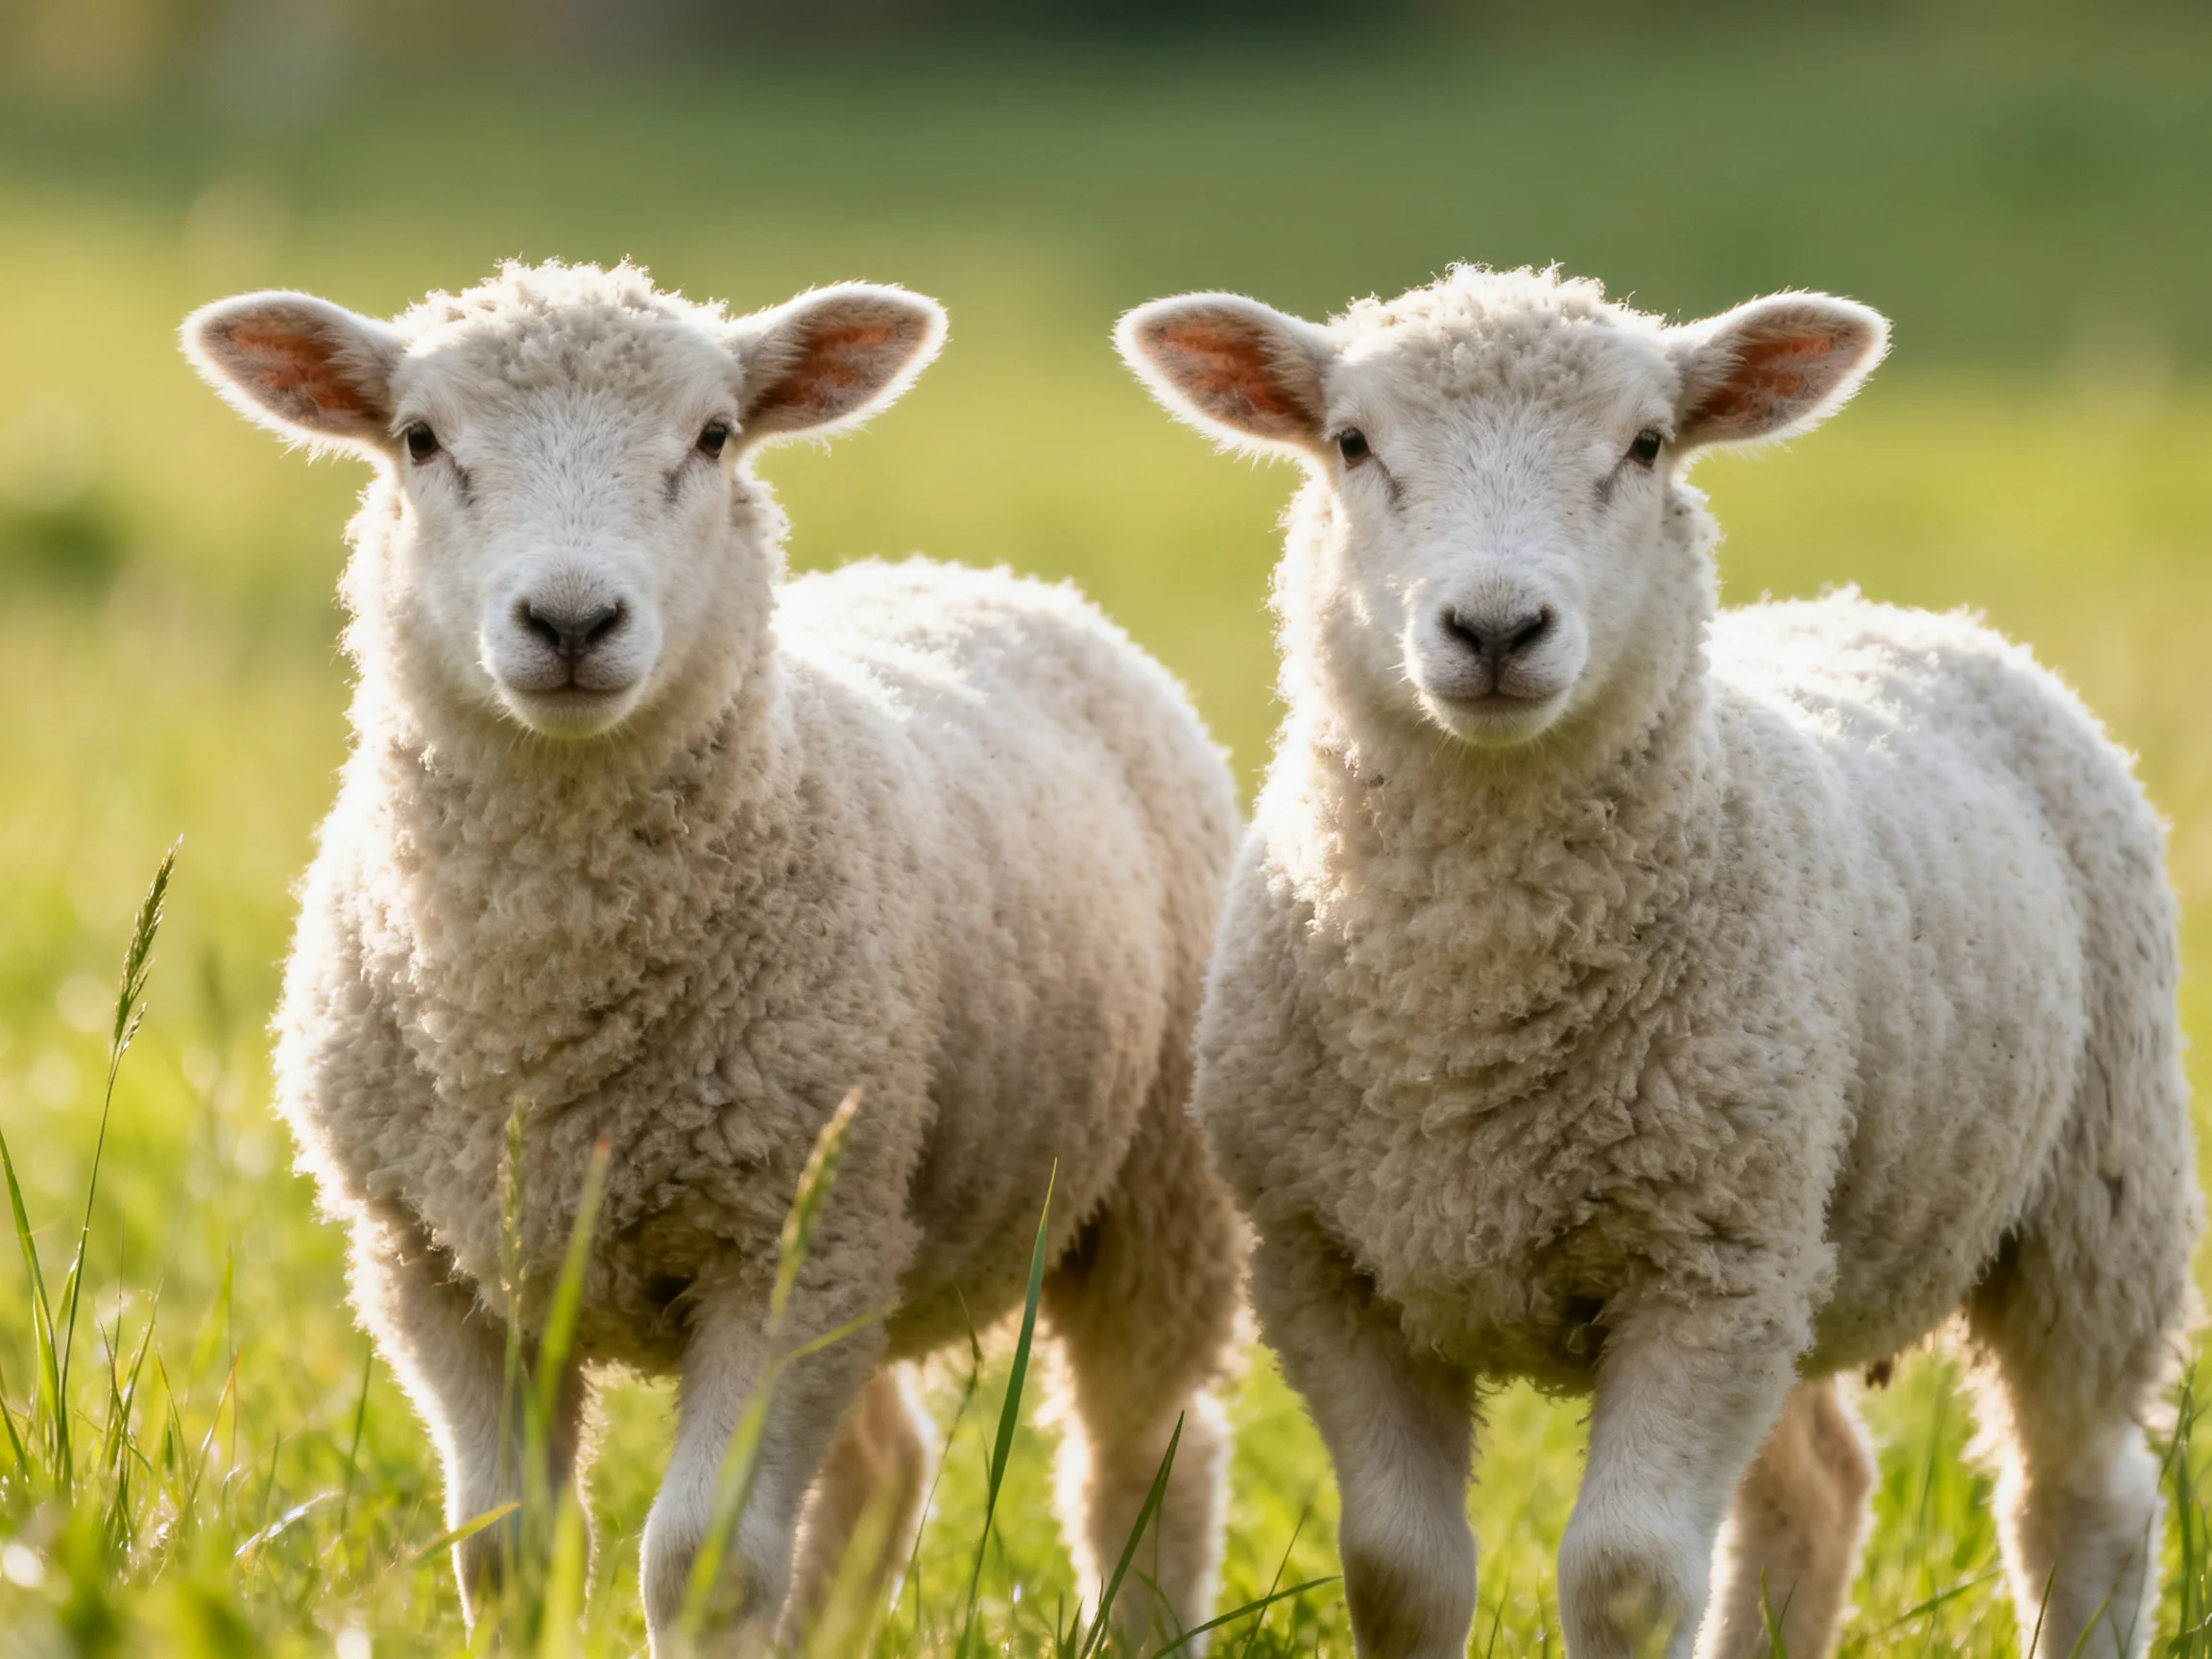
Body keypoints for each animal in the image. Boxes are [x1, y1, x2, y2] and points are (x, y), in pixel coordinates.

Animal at [182, 259, 1244, 1656]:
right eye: (418, 439)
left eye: (714, 436)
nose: (571, 619)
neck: (543, 1016)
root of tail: (981, 574)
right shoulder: (434, 1260)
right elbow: (510, 1554)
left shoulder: (780, 1250)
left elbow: (701, 1562)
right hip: (878, 1225)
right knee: (883, 1466)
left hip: (1148, 1193)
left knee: (1144, 1459)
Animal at [1116, 264, 2200, 1659]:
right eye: (1352, 444)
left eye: (1645, 446)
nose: (1497, 627)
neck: (1468, 1014)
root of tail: (1895, 614)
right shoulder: (1330, 1267)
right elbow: (1400, 1570)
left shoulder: (1704, 1268)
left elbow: (1626, 1576)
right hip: (1807, 1233)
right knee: (1818, 1484)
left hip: (2092, 1195)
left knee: (2081, 1494)